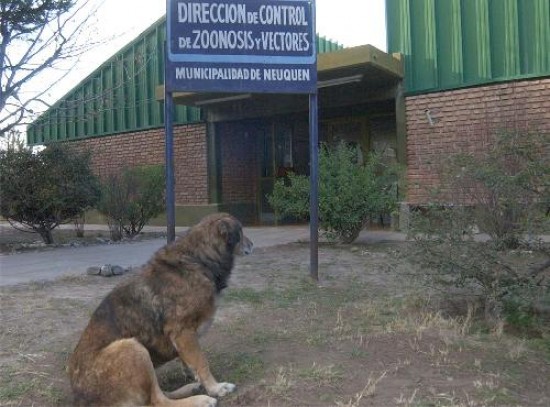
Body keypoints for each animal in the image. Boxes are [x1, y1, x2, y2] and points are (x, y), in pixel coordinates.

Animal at [67, 215, 254, 406]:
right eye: (241, 231)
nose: (253, 245)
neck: (197, 259)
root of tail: (80, 398)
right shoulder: (183, 332)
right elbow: (202, 362)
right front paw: (215, 388)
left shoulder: (183, 339)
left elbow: (189, 361)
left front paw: (196, 378)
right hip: (132, 347)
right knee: (157, 401)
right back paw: (200, 400)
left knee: (159, 394)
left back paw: (190, 389)